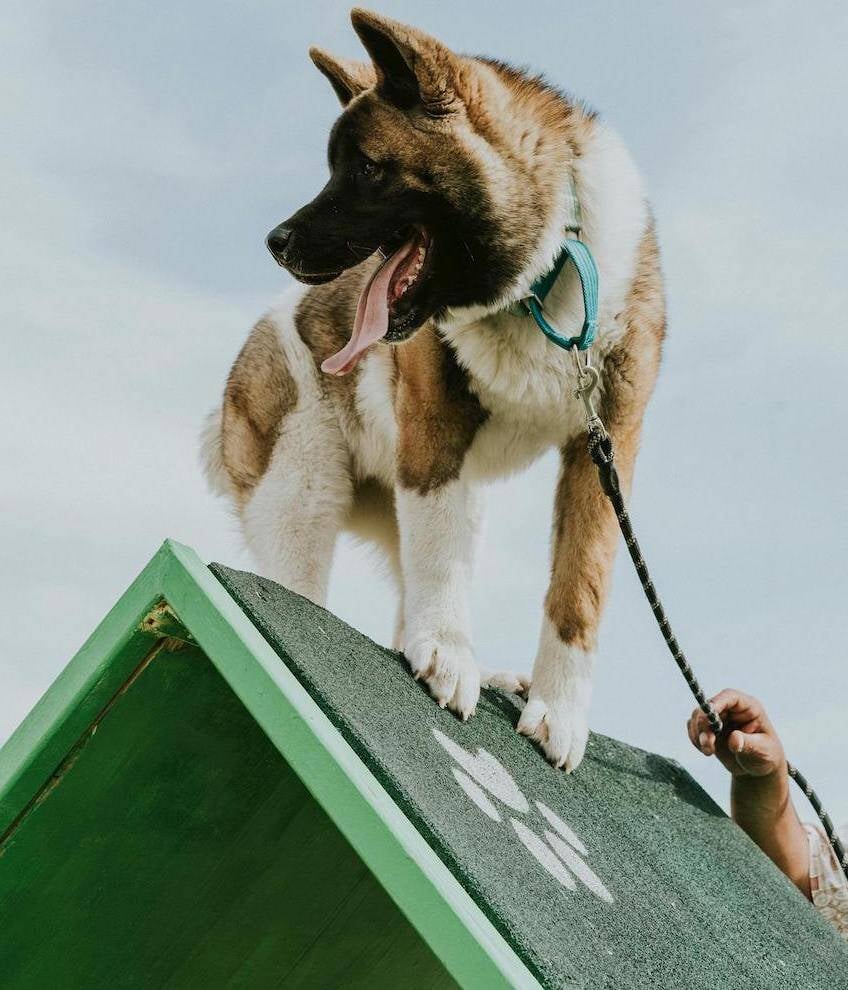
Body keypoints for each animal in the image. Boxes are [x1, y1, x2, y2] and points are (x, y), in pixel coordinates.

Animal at [202, 11, 664, 780]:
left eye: (365, 168)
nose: (276, 240)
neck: (541, 277)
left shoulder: (604, 448)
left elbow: (580, 588)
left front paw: (560, 711)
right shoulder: (435, 430)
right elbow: (444, 560)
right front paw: (448, 654)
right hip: (304, 493)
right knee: (317, 578)